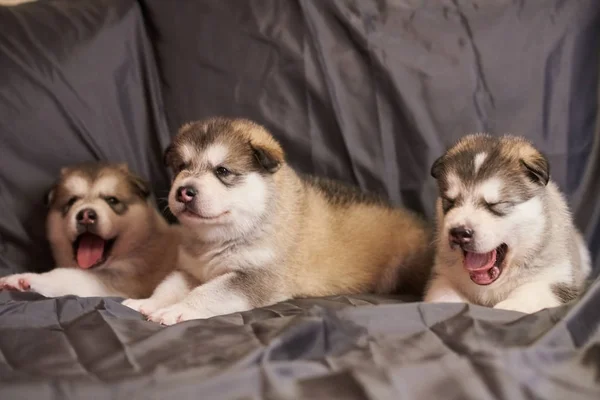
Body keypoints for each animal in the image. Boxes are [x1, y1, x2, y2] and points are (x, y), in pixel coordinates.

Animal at [0, 162, 179, 296]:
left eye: (112, 200)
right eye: (71, 201)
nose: (86, 215)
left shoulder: (121, 285)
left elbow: (65, 276)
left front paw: (22, 279)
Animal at [124, 117, 434, 324]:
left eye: (223, 171)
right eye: (181, 167)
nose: (184, 191)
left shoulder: (258, 277)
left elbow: (210, 291)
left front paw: (179, 310)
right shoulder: (189, 269)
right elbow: (168, 285)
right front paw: (147, 303)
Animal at [424, 134, 592, 312]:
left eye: (496, 204)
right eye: (450, 201)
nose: (459, 232)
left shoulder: (557, 278)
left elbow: (529, 294)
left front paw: (509, 305)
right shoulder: (442, 276)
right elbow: (443, 295)